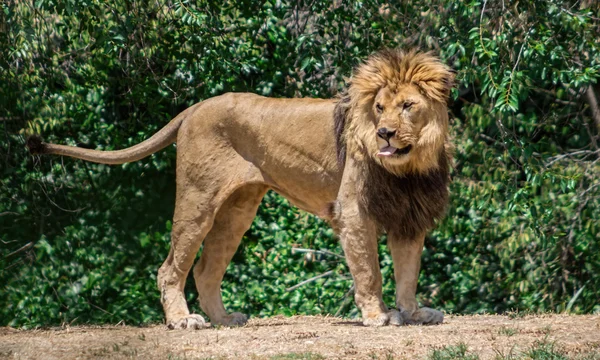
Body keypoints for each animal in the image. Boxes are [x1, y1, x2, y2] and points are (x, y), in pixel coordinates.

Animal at [25, 49, 452, 330]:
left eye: (408, 106)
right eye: (379, 108)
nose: (385, 133)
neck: (408, 168)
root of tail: (195, 107)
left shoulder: (410, 216)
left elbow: (408, 272)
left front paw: (414, 313)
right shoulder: (353, 212)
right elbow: (369, 272)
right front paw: (378, 316)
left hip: (237, 211)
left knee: (205, 269)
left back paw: (224, 318)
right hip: (197, 201)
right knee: (171, 268)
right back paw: (183, 321)